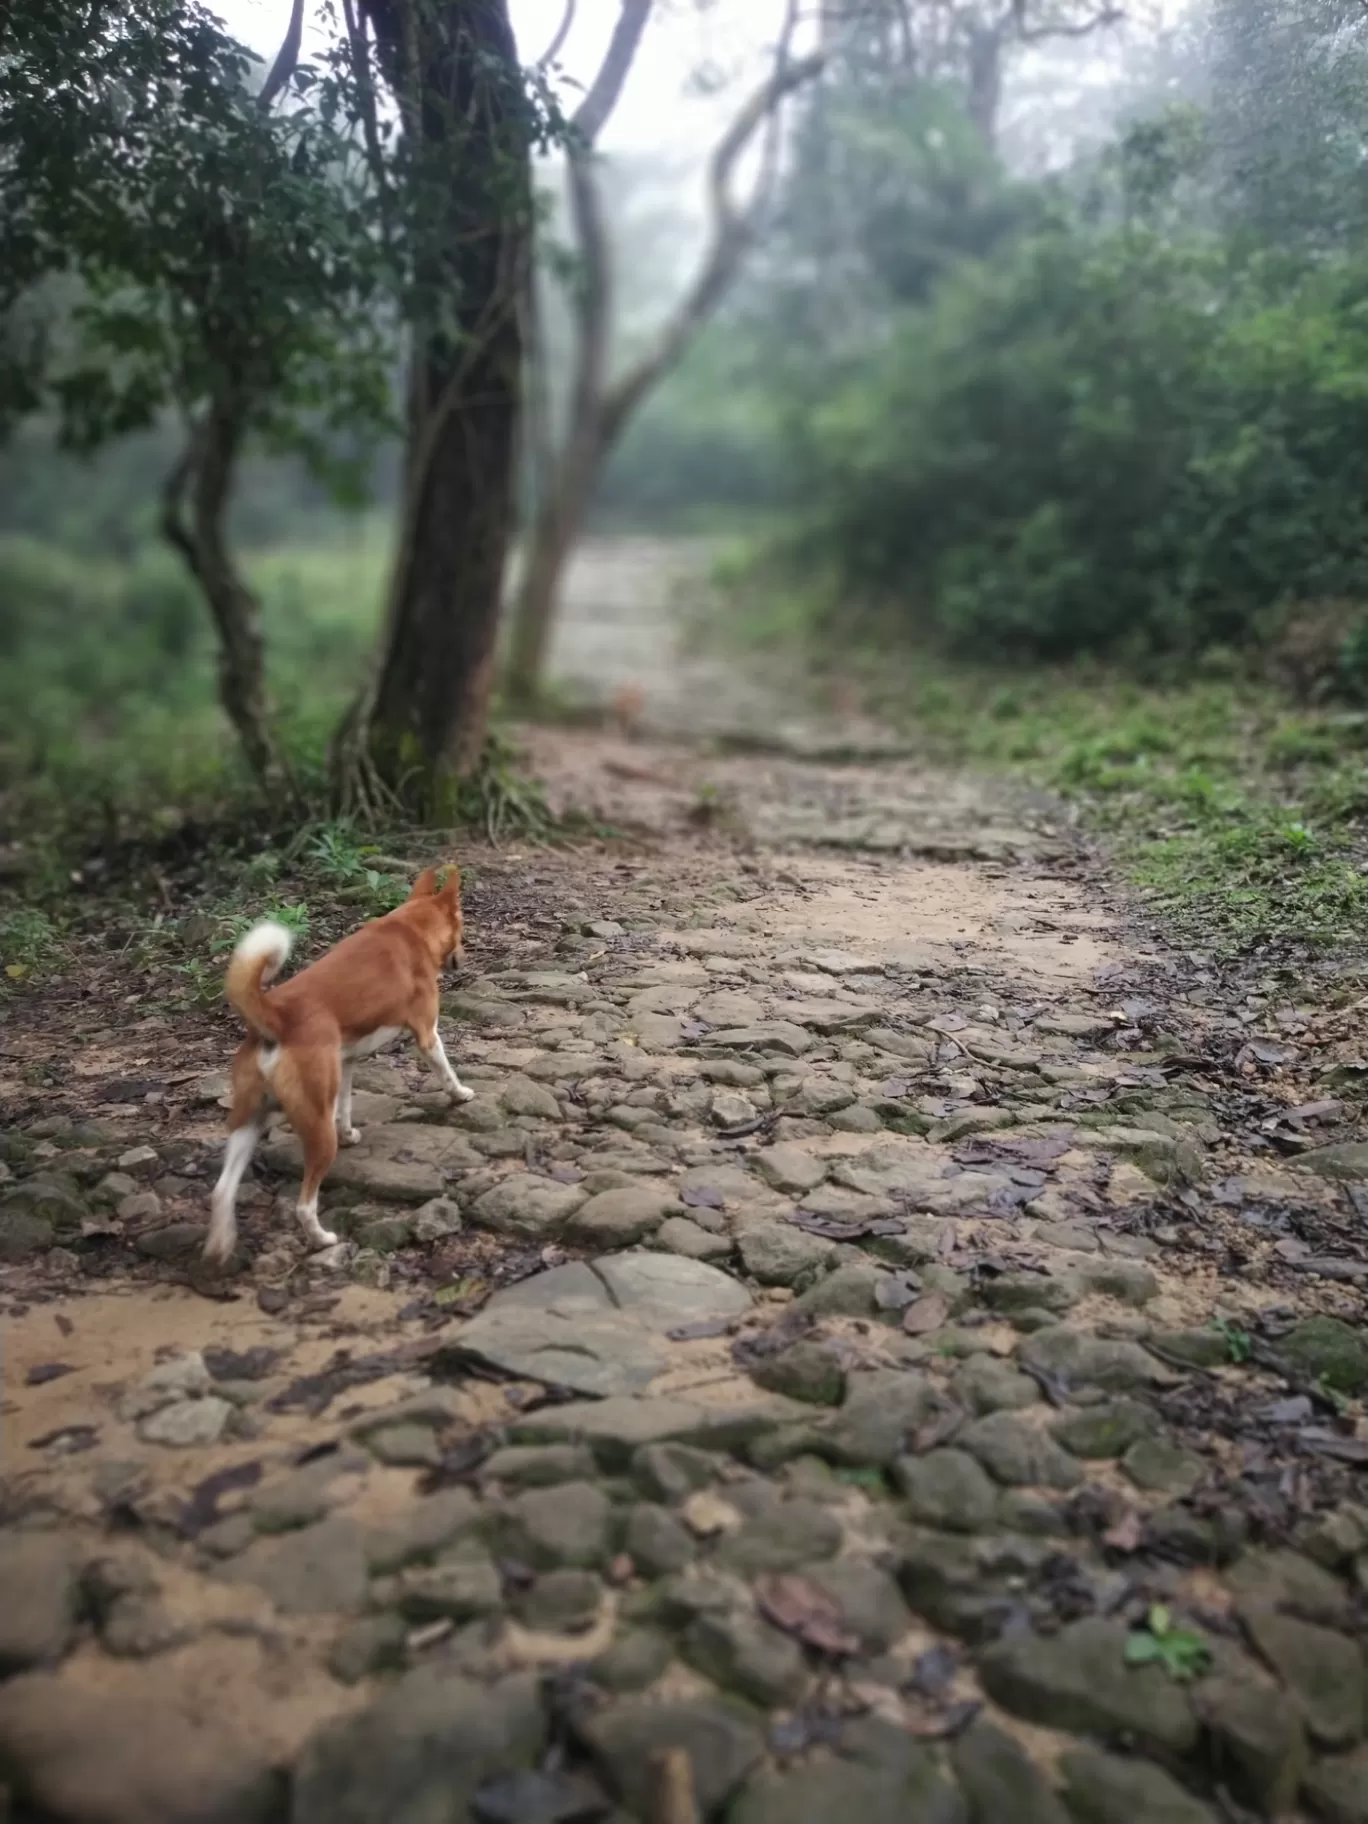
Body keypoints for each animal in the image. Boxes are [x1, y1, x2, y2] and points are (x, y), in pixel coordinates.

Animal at [206, 868, 474, 1269]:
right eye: (463, 927)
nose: (464, 956)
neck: (410, 928)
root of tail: (275, 1018)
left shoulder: (345, 1062)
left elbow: (346, 1105)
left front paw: (349, 1133)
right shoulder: (427, 1034)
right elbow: (446, 1070)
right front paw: (460, 1094)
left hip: (250, 1120)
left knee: (222, 1189)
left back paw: (220, 1246)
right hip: (316, 1128)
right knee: (304, 1205)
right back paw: (321, 1239)